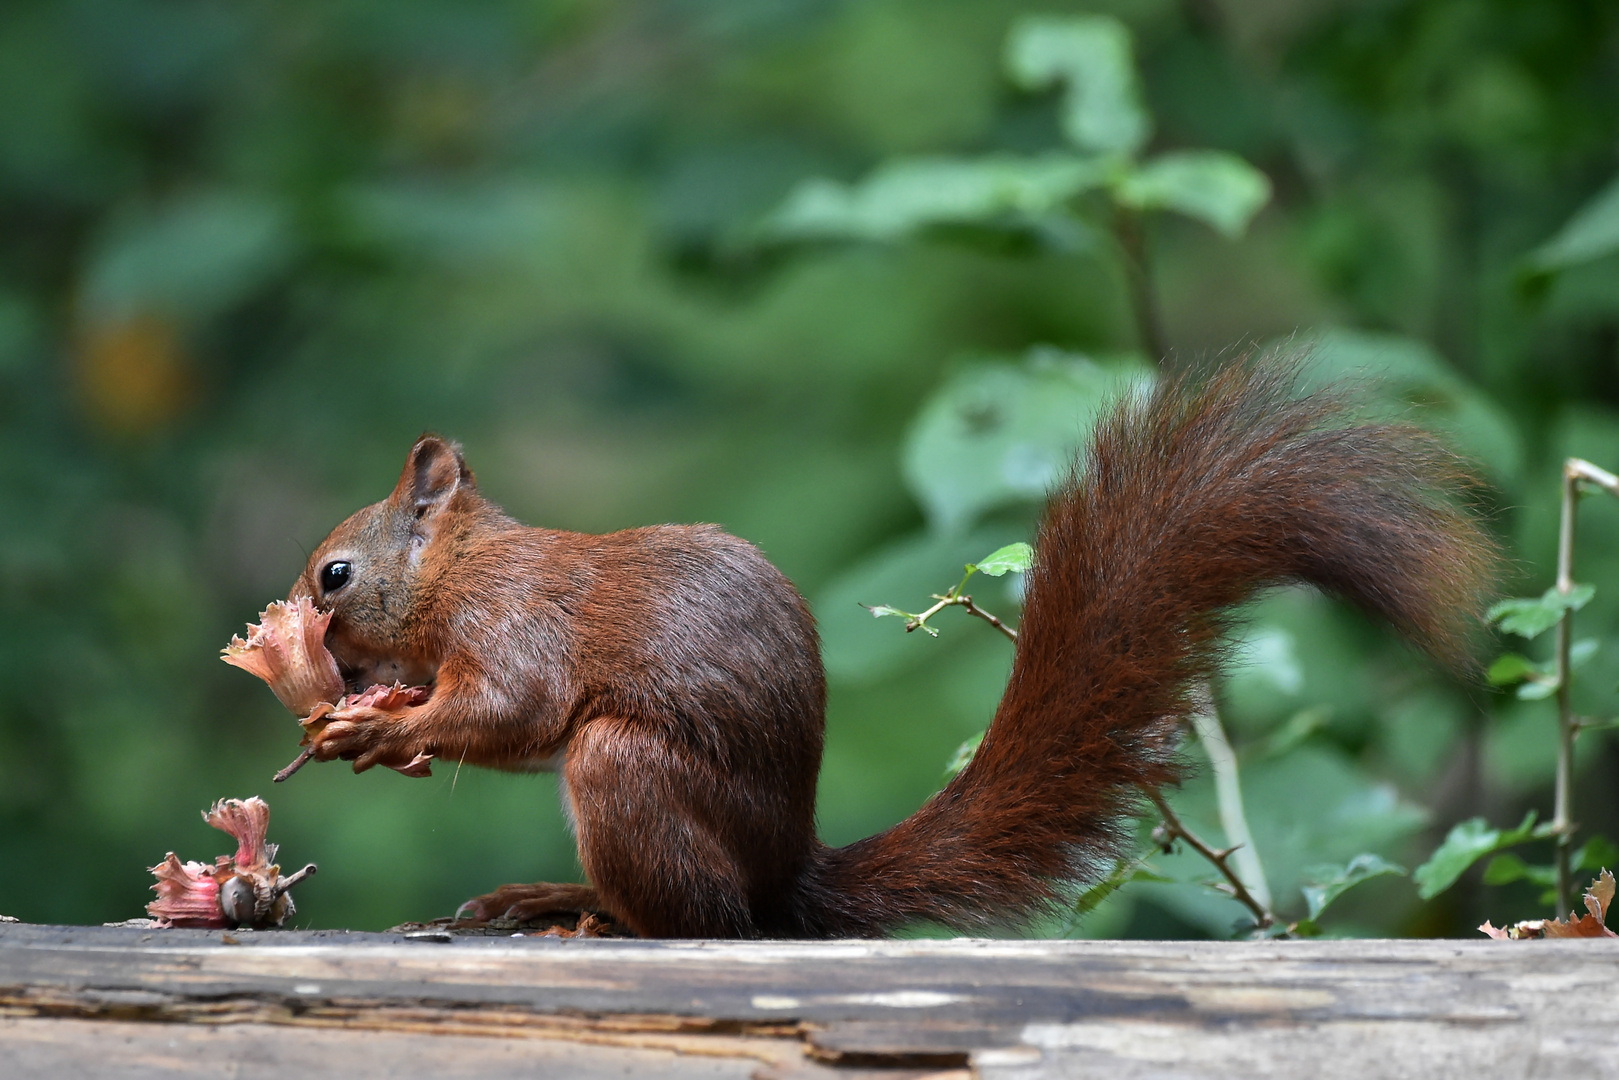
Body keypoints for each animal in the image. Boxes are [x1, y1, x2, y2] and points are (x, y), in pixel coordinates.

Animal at [288, 362, 1489, 939]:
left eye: (333, 577)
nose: (320, 655)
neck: (457, 572)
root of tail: (788, 871)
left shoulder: (512, 624)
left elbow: (512, 709)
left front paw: (377, 727)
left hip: (624, 770)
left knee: (703, 922)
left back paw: (576, 907)